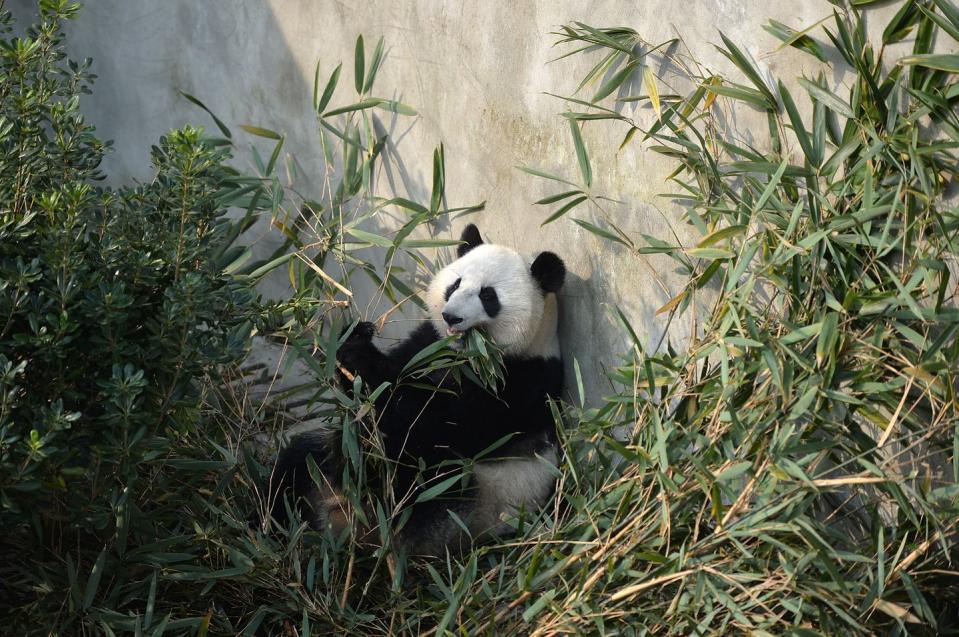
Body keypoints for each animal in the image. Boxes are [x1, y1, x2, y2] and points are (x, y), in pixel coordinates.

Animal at [266, 225, 568, 556]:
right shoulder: (427, 345)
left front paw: (362, 359)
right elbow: (395, 379)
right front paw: (354, 340)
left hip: (466, 501)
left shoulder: (519, 384)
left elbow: (436, 424)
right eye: (455, 284)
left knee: (413, 472)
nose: (451, 316)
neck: (468, 355)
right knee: (298, 464)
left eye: (488, 295)